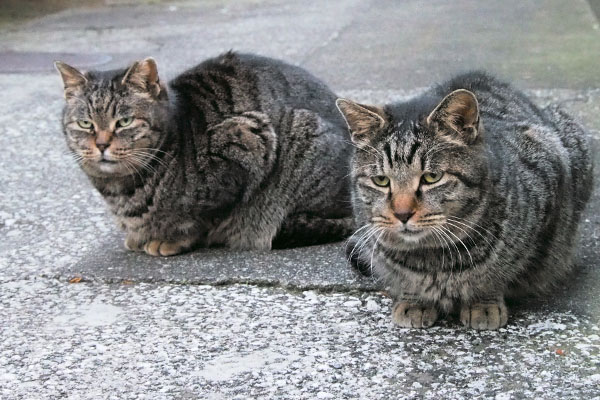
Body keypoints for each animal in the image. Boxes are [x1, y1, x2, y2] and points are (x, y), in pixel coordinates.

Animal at [55, 51, 352, 255]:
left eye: (124, 122)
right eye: (85, 124)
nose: (102, 144)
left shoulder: (246, 142)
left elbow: (200, 219)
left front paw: (169, 240)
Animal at [340, 72, 592, 332]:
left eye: (432, 177)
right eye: (381, 180)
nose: (402, 214)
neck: (431, 260)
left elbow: (498, 272)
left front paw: (483, 303)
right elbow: (407, 281)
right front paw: (414, 300)